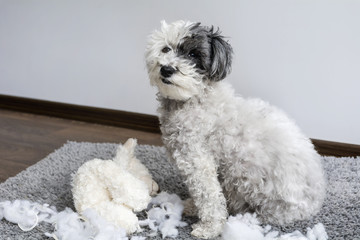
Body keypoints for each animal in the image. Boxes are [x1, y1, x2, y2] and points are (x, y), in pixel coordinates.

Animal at [144, 20, 326, 238]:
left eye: (194, 54)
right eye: (166, 49)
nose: (167, 69)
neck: (194, 99)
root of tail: (314, 203)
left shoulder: (198, 162)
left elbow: (209, 196)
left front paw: (209, 228)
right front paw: (193, 208)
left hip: (250, 182)